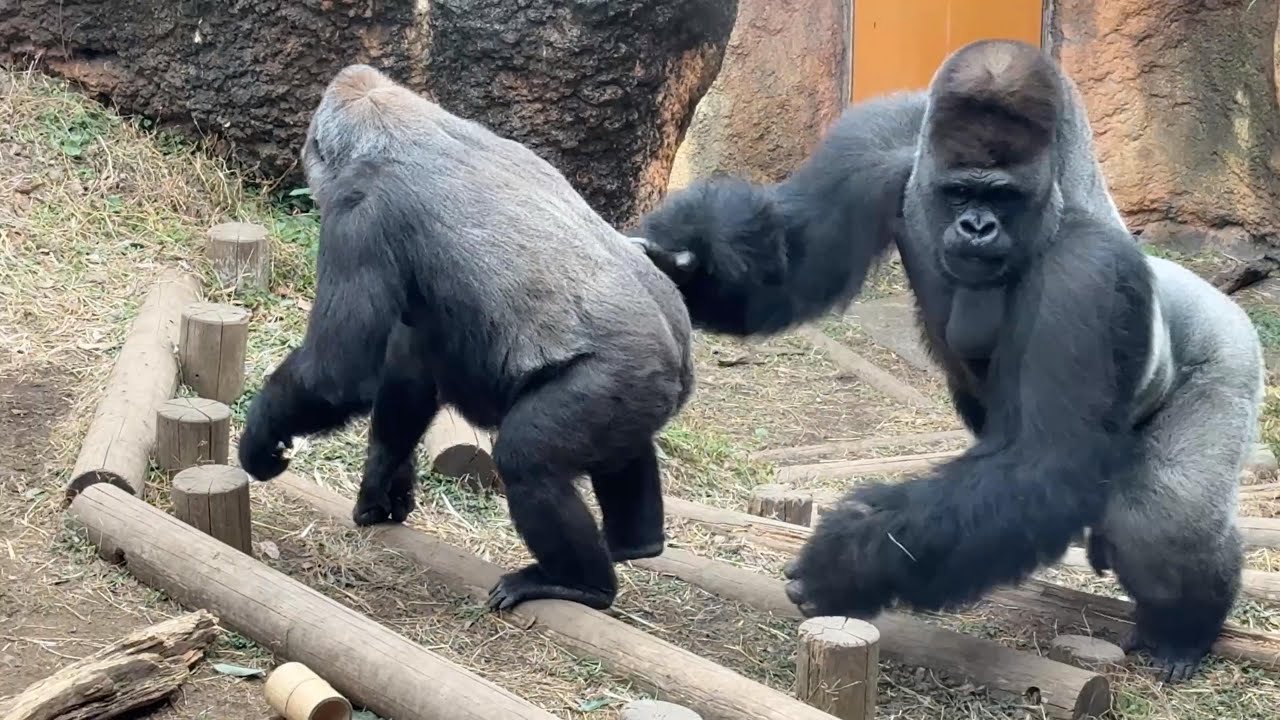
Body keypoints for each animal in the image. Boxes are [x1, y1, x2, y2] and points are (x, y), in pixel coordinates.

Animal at [236, 64, 696, 613]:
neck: (405, 123)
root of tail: (681, 356)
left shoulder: (359, 211)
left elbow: (338, 373)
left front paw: (261, 434)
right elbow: (407, 380)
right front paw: (383, 484)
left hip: (618, 379)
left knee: (527, 459)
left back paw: (580, 584)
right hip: (646, 389)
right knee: (625, 447)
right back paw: (635, 542)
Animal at [631, 40, 1264, 683]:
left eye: (1002, 196)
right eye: (960, 192)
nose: (977, 227)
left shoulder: (1088, 273)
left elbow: (1043, 459)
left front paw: (855, 557)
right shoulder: (884, 136)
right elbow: (788, 267)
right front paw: (691, 254)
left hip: (1227, 349)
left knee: (1164, 515)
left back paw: (1186, 630)